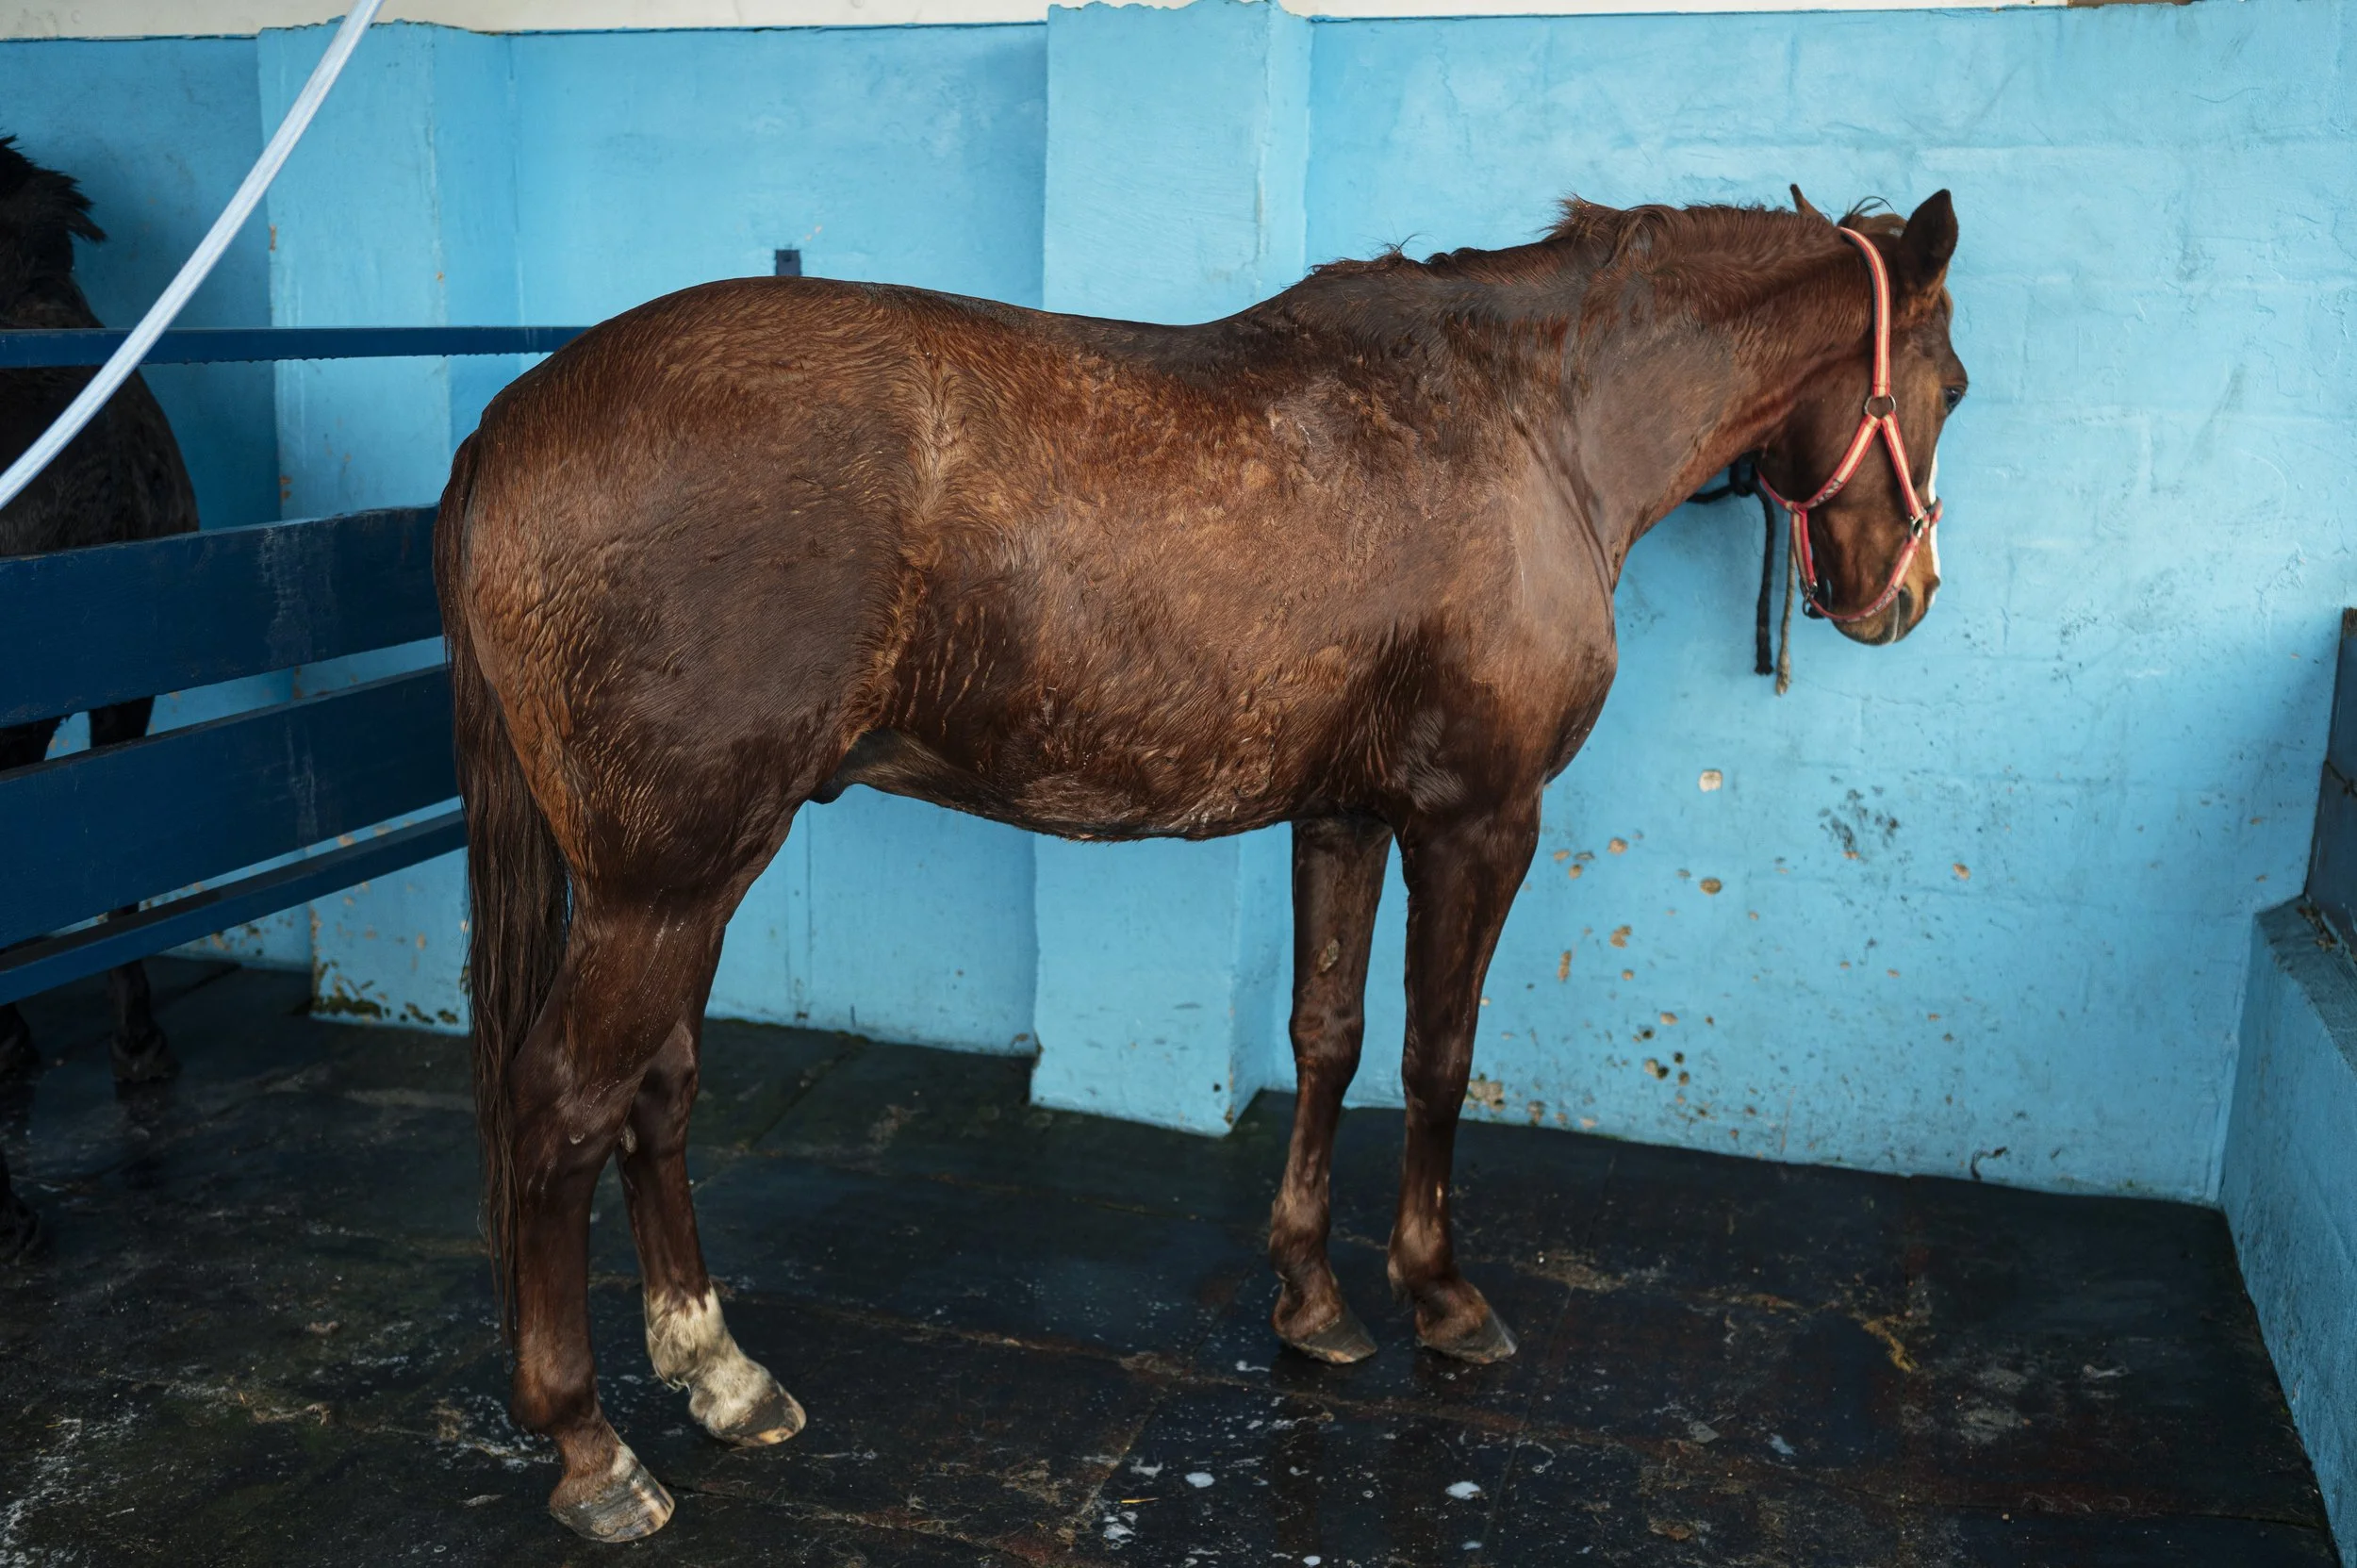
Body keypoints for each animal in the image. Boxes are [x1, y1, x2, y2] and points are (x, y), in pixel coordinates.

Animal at [435, 187, 1965, 1540]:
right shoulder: (1479, 819)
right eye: (1948, 380)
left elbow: (1328, 1035)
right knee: (563, 1105)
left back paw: (721, 1371)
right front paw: (1441, 1296)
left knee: (659, 1089)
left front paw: (1312, 1299)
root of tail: (509, 425)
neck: (1530, 420)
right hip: (661, 889)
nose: (1899, 598)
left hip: (684, 881)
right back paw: (591, 1446)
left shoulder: (1345, 811)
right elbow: (1438, 1057)